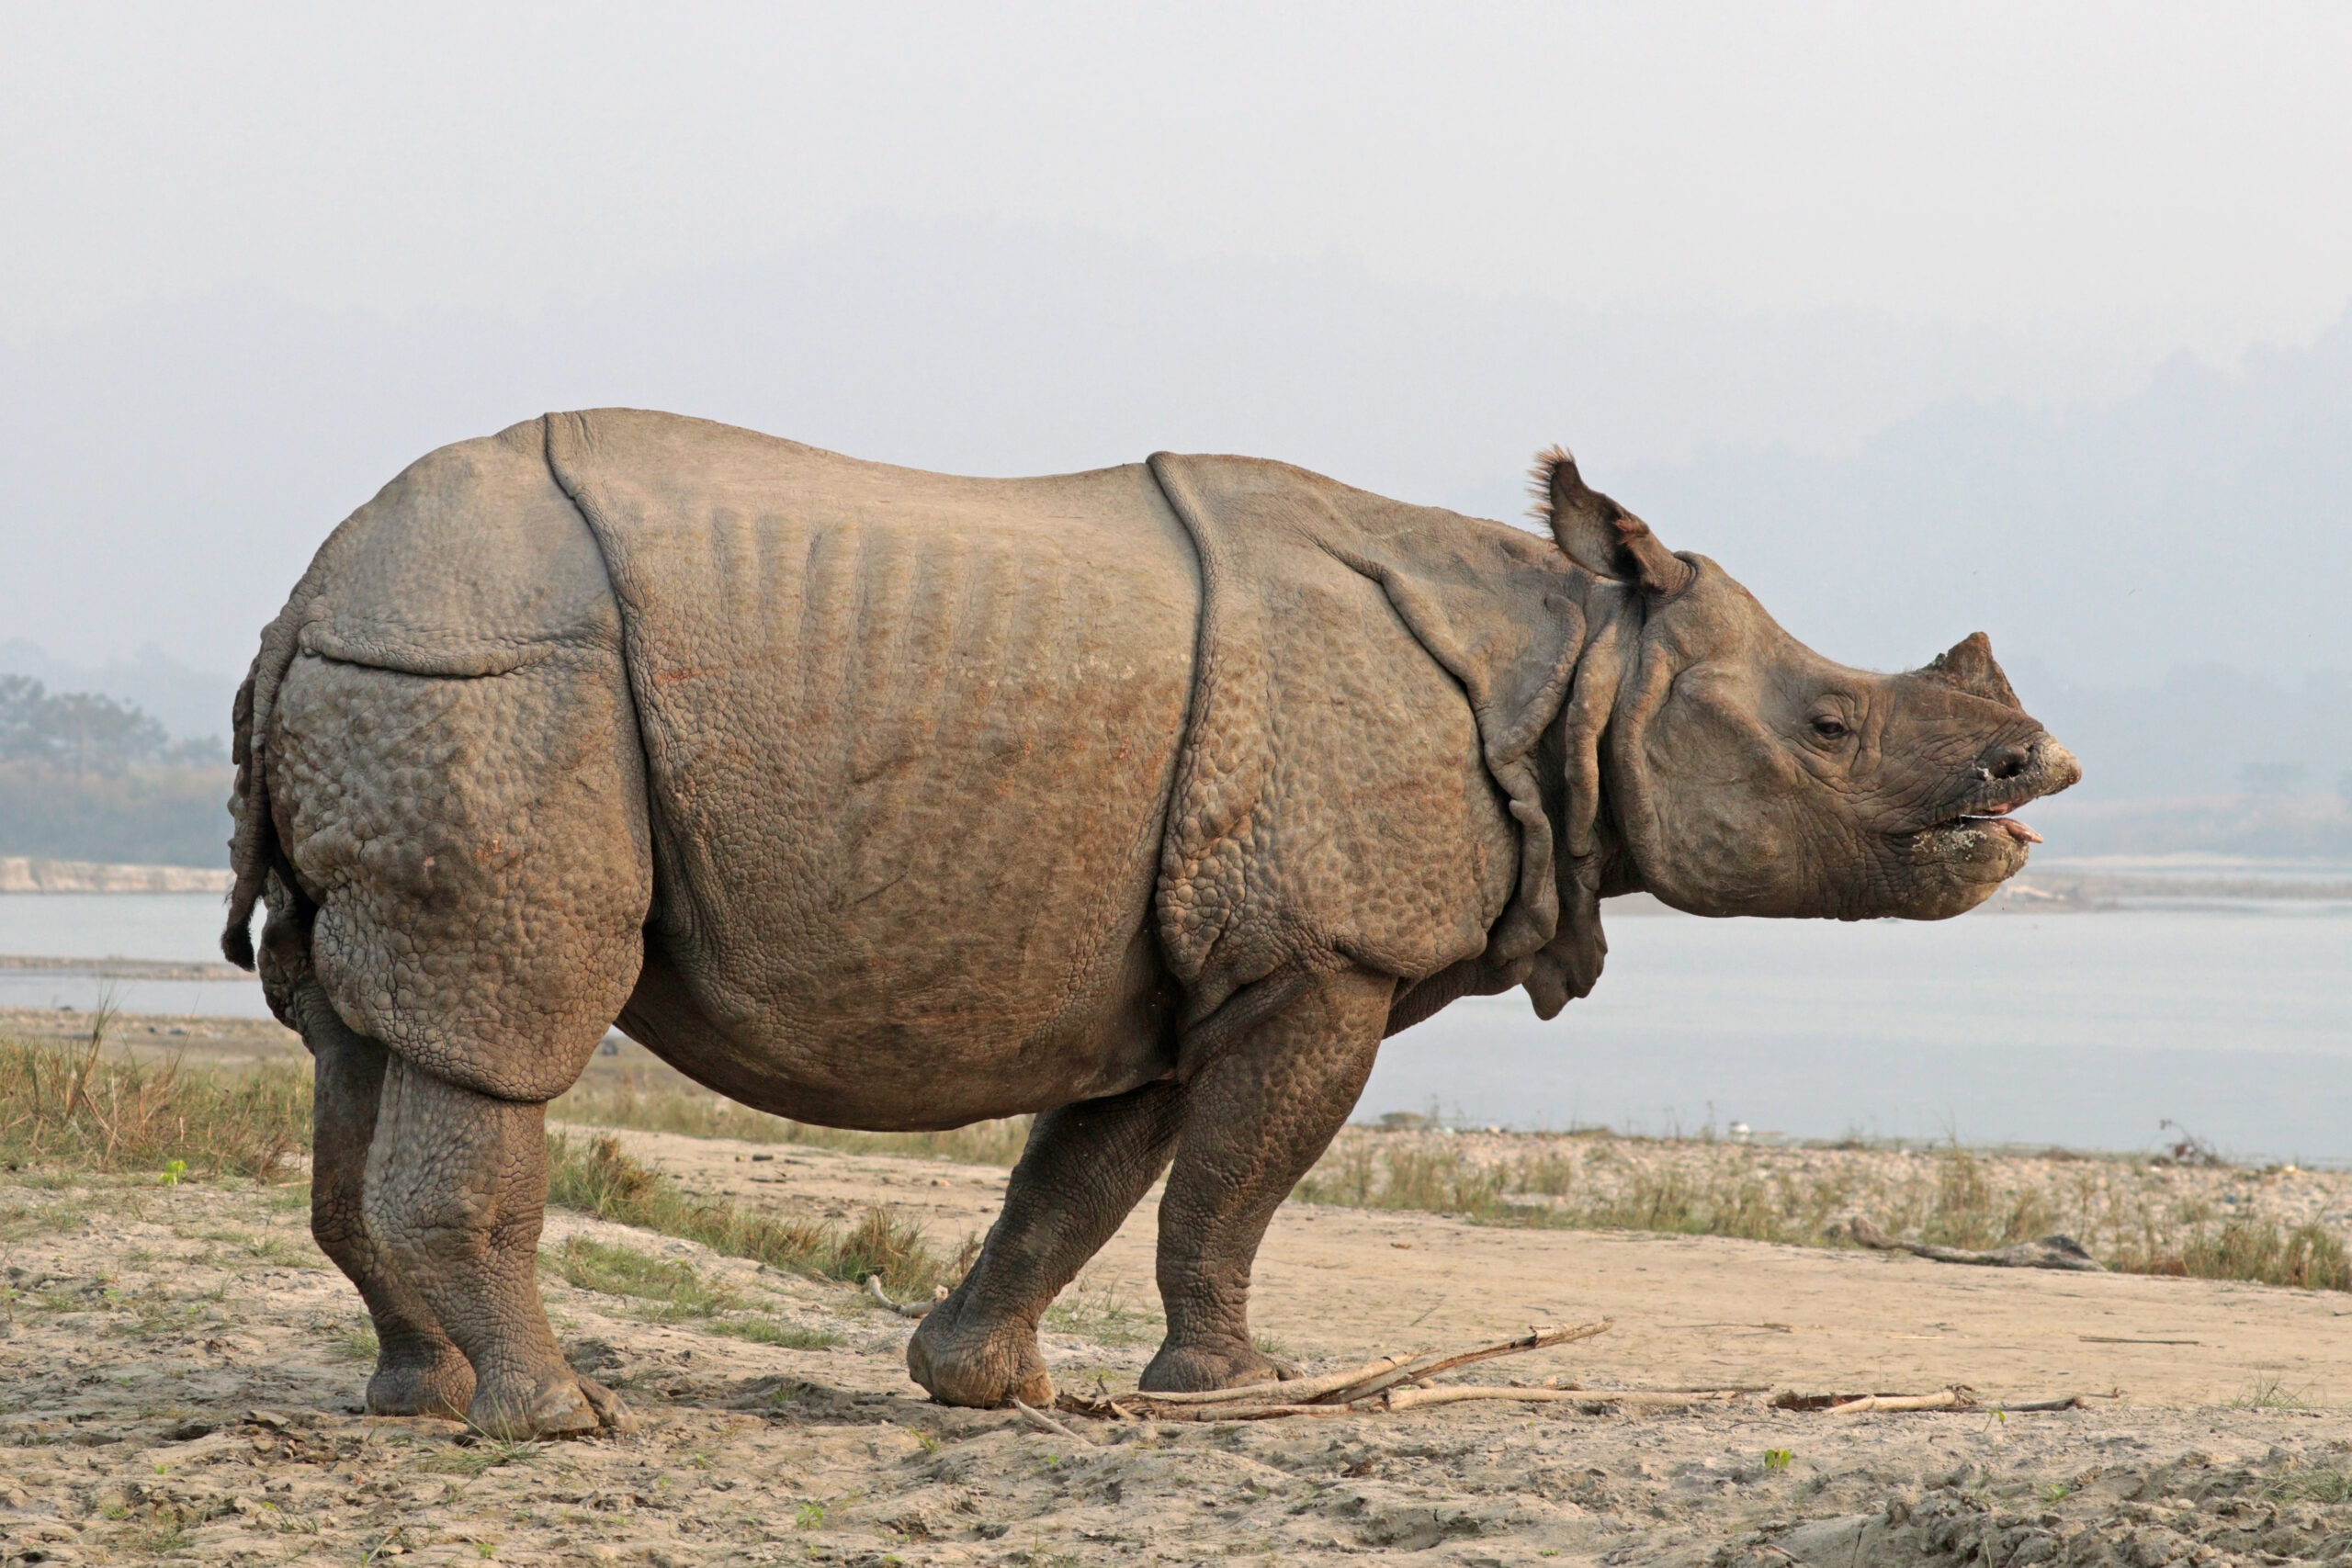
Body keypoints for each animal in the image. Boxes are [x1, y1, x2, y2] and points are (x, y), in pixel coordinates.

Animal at [222, 410, 2077, 1437]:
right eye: (1831, 725)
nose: (2035, 768)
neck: (1575, 664)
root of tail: (308, 588)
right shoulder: (1325, 953)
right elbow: (1241, 1178)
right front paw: (1243, 1394)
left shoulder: (1185, 963)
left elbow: (1092, 1174)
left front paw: (989, 1386)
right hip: (496, 678)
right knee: (506, 1030)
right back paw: (562, 1422)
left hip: (407, 680)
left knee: (360, 1040)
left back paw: (419, 1403)